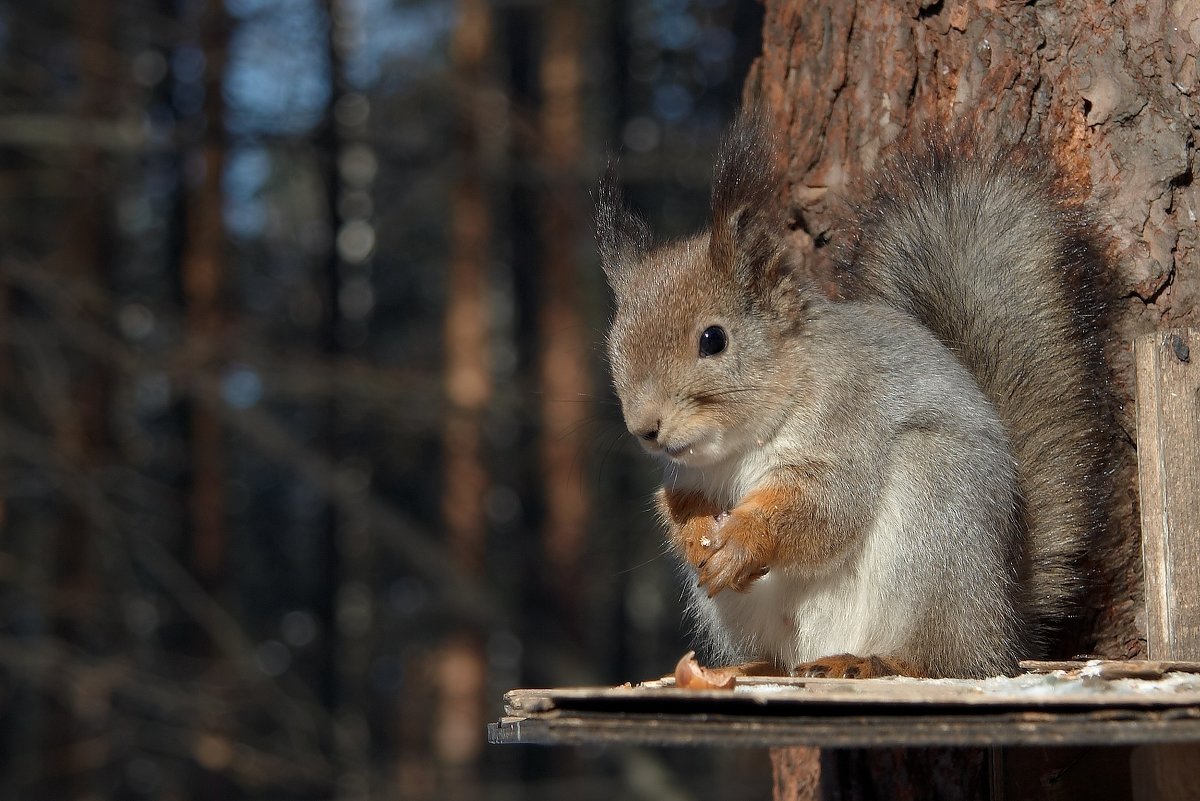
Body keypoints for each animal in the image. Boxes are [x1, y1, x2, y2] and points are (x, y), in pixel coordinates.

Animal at [595, 110, 1108, 676]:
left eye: (713, 339)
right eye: (614, 344)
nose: (645, 429)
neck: (741, 444)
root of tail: (1002, 622)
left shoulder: (848, 419)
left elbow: (826, 504)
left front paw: (742, 542)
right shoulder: (688, 475)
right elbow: (677, 502)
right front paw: (696, 536)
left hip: (935, 519)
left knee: (938, 659)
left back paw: (875, 663)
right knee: (779, 658)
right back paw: (750, 667)